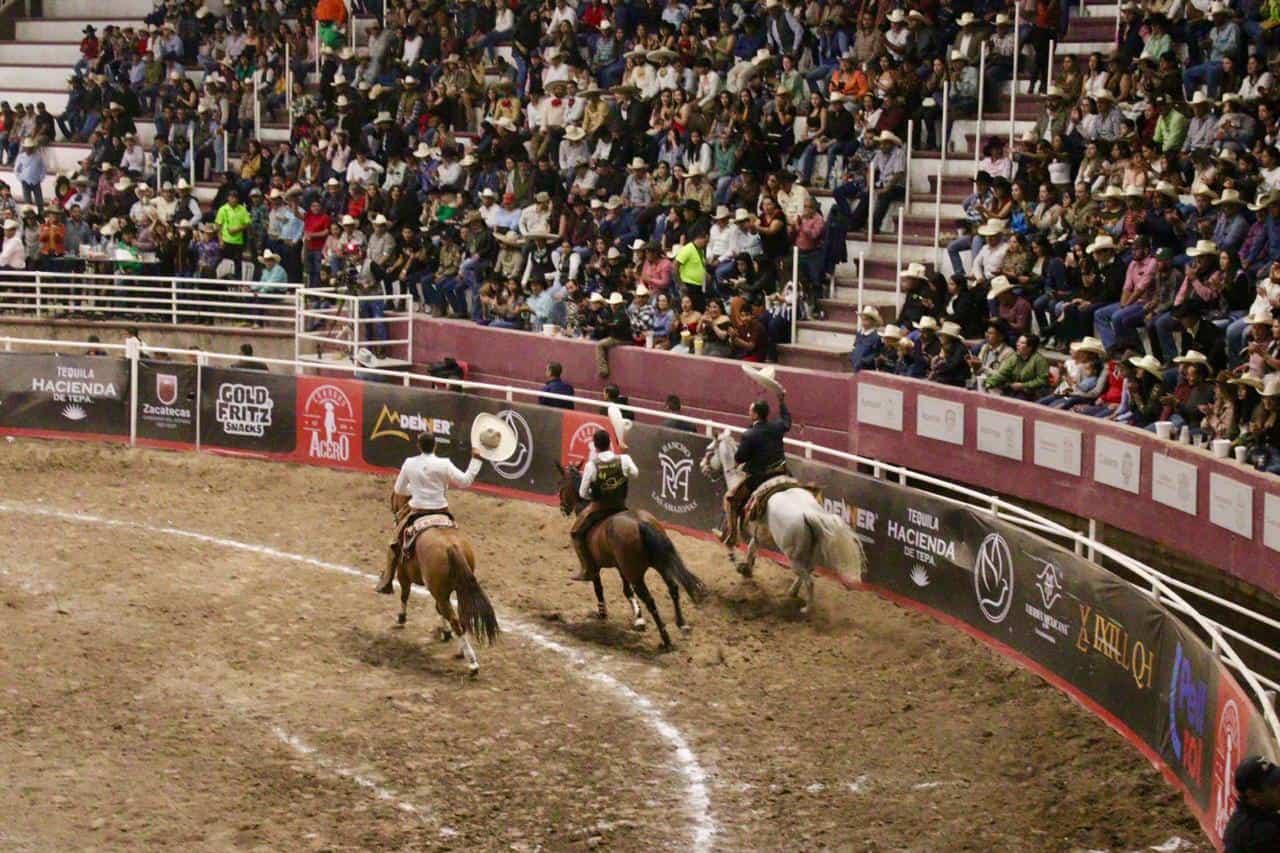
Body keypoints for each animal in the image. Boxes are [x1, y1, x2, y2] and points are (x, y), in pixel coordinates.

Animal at [386, 489, 496, 676]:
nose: (393, 508)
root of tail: (451, 546)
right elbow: (438, 609)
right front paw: (445, 633)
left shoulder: (403, 573)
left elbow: (405, 594)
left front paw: (401, 618)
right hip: (458, 589)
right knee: (461, 618)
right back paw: (462, 651)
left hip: (439, 590)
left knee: (455, 620)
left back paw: (472, 663)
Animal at [552, 461, 711, 648]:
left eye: (560, 484)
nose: (563, 508)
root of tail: (640, 523)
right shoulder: (622, 568)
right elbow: (627, 591)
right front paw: (639, 620)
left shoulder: (597, 567)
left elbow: (599, 588)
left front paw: (602, 612)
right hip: (659, 565)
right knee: (673, 588)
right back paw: (682, 625)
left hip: (636, 574)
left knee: (650, 599)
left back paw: (665, 638)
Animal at [696, 432, 865, 612]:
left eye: (709, 451)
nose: (702, 466)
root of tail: (809, 514)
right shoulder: (758, 537)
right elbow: (751, 552)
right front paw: (747, 571)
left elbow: (731, 544)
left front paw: (738, 565)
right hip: (809, 553)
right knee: (807, 573)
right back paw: (792, 591)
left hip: (793, 557)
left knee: (809, 581)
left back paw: (806, 608)